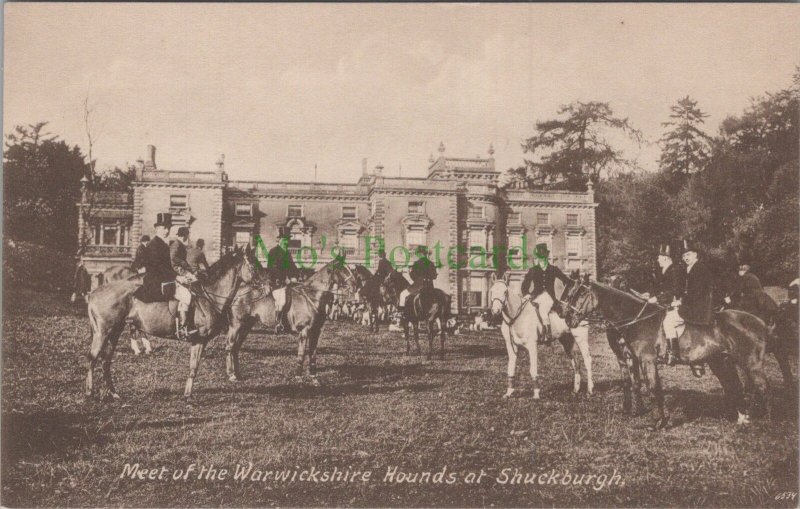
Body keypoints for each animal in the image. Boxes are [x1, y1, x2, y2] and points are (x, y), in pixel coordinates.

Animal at [82, 247, 256, 400]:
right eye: (253, 266)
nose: (262, 283)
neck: (209, 296)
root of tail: (94, 293)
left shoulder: (198, 341)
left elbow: (193, 366)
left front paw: (187, 393)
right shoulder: (200, 339)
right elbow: (195, 367)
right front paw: (189, 395)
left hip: (115, 332)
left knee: (105, 361)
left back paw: (113, 393)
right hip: (102, 333)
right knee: (92, 358)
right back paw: (89, 392)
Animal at [222, 254, 360, 384]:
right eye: (342, 269)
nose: (356, 285)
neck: (311, 296)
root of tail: (238, 291)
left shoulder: (316, 332)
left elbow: (313, 354)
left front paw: (314, 378)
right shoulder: (304, 331)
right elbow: (301, 354)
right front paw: (299, 377)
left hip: (247, 325)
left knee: (236, 347)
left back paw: (238, 374)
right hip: (236, 325)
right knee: (230, 345)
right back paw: (231, 375)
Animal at [564, 280, 768, 426]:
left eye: (580, 294)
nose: (567, 319)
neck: (637, 319)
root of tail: (759, 321)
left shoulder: (647, 361)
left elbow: (653, 388)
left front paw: (657, 422)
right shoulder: (633, 360)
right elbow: (642, 386)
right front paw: (655, 417)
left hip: (752, 365)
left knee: (761, 389)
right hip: (722, 362)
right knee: (734, 387)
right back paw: (741, 418)